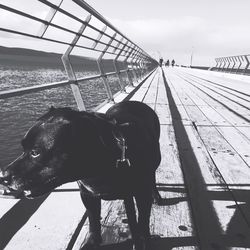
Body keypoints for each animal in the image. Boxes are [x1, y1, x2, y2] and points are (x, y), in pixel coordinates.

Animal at [0, 100, 161, 249]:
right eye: (22, 148)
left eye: (35, 152)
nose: (3, 175)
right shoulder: (88, 196)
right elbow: (93, 222)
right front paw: (92, 243)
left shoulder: (142, 195)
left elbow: (143, 222)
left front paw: (144, 241)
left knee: (152, 180)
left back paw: (157, 196)